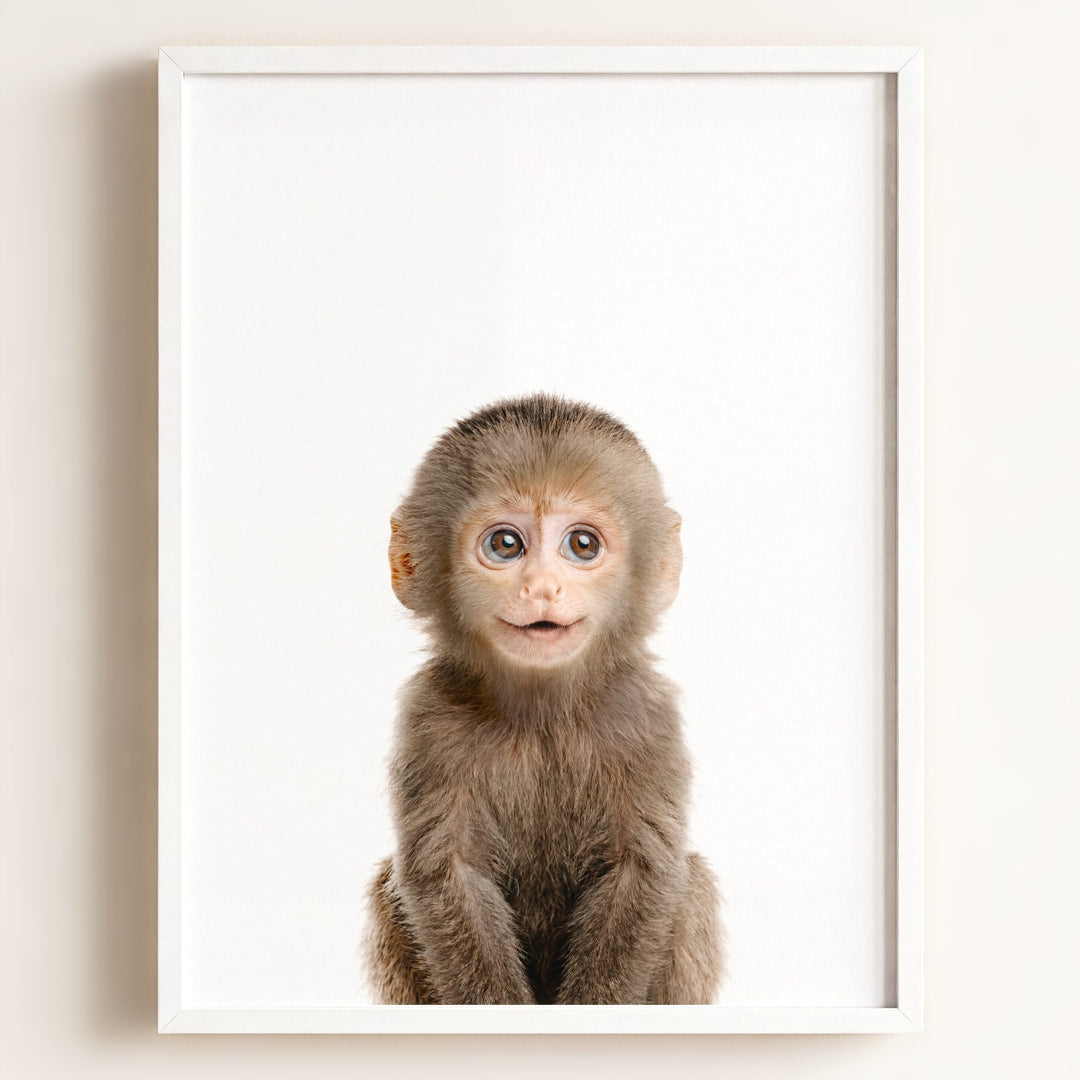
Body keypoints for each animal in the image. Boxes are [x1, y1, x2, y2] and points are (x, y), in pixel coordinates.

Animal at [364, 394, 723, 1005]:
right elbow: (446, 874)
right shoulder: (430, 717)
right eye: (505, 545)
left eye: (582, 544)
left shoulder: (646, 715)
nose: (541, 588)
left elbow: (642, 871)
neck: (542, 715)